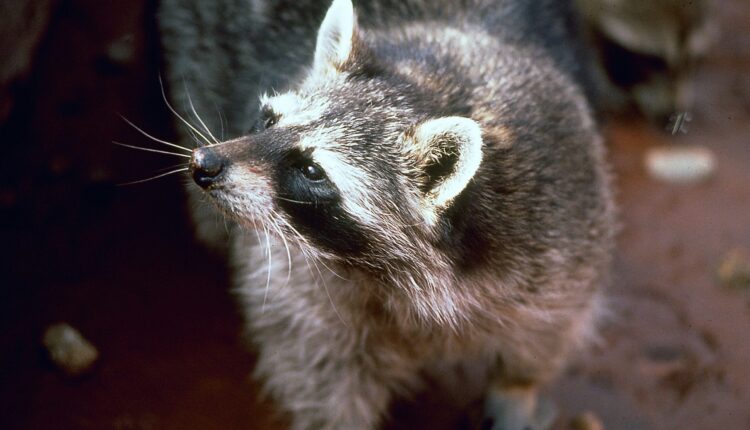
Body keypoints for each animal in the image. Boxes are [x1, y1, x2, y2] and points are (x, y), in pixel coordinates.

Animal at [159, 0, 615, 429]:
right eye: (269, 121)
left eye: (311, 170)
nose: (204, 163)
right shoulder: (299, 284)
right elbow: (319, 372)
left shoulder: (561, 229)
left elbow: (544, 337)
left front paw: (517, 394)